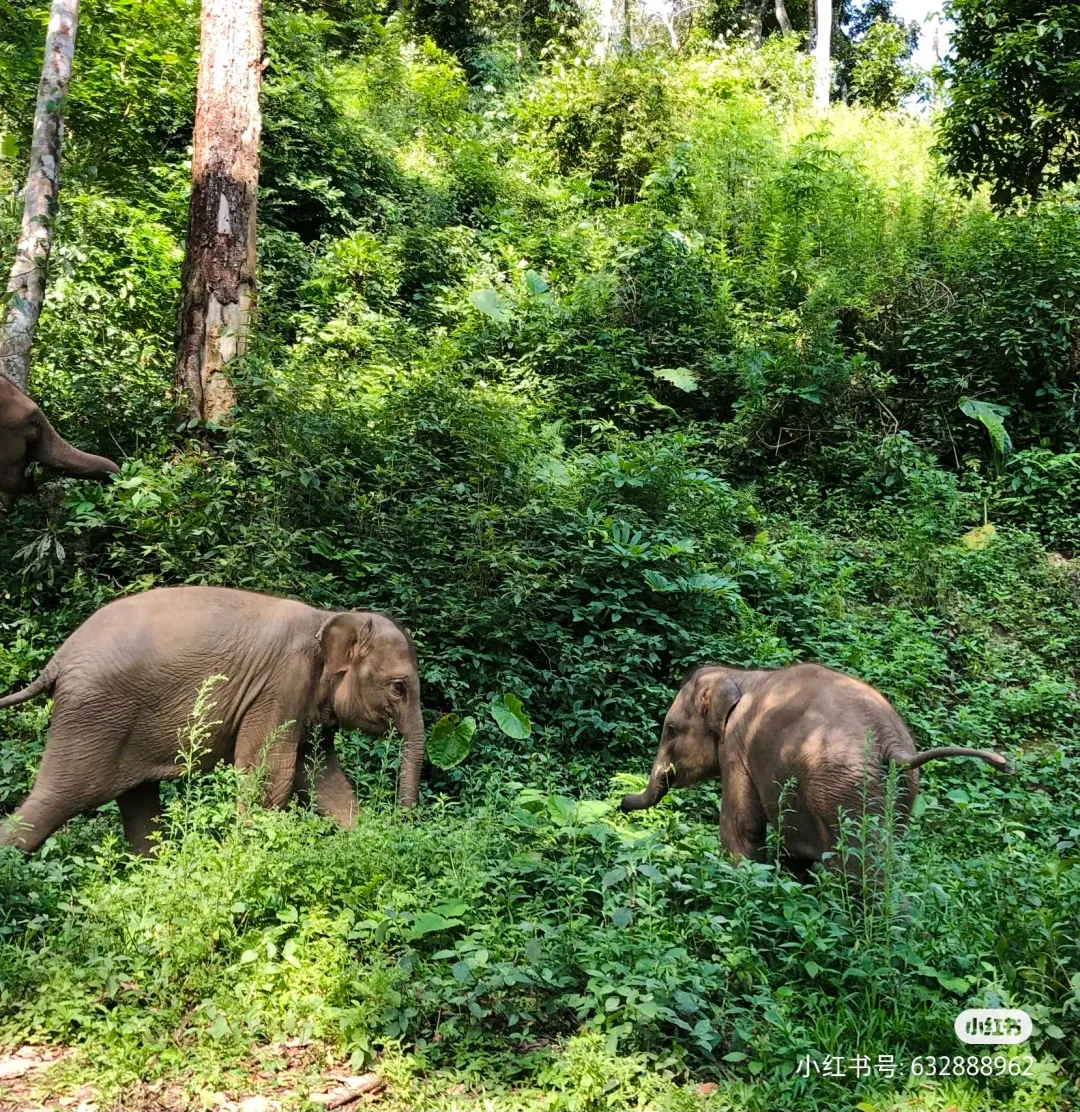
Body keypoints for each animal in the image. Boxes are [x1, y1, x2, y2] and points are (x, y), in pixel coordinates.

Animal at [0, 587, 429, 854]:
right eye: (399, 688)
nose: (402, 824)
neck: (329, 617)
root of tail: (58, 661)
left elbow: (320, 774)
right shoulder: (280, 685)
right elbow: (269, 773)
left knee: (136, 801)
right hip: (93, 716)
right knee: (56, 799)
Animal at [622, 658, 1009, 876]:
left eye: (670, 730)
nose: (622, 802)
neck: (740, 675)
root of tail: (893, 745)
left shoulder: (737, 746)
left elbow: (741, 828)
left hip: (843, 791)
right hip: (899, 792)